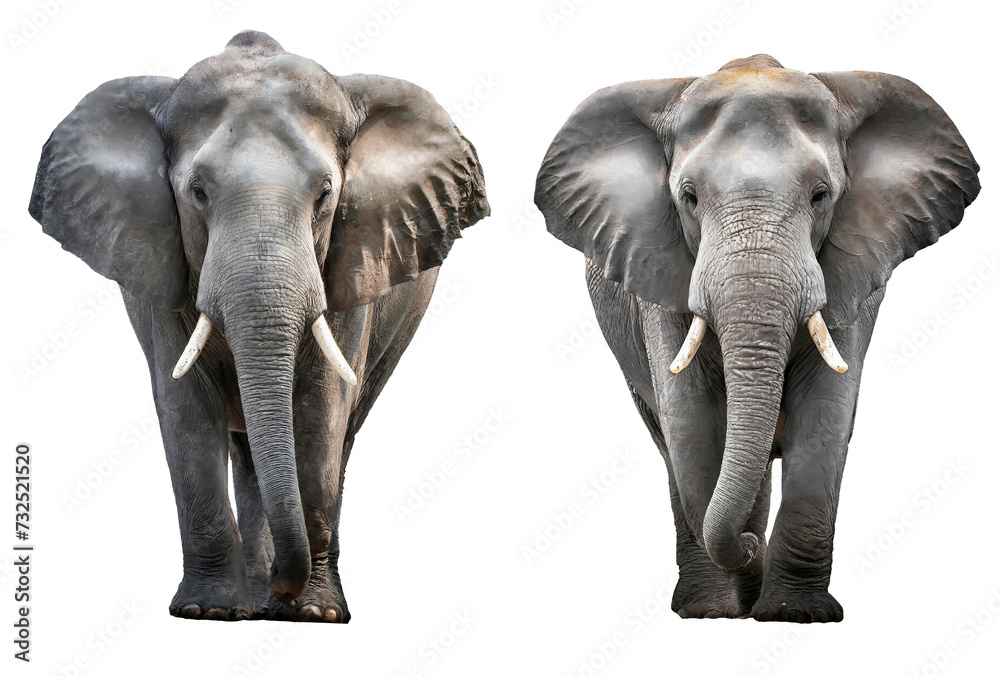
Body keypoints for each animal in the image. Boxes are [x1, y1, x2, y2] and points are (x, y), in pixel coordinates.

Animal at [28, 30, 489, 622]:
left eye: (325, 195)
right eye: (197, 192)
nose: (285, 590)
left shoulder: (351, 259)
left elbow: (320, 407)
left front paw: (314, 614)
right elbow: (185, 408)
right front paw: (207, 612)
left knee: (341, 431)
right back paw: (251, 602)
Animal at [534, 54, 979, 622]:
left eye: (820, 195)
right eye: (689, 197)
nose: (747, 549)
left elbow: (826, 414)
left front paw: (796, 613)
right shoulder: (660, 270)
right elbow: (692, 424)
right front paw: (721, 607)